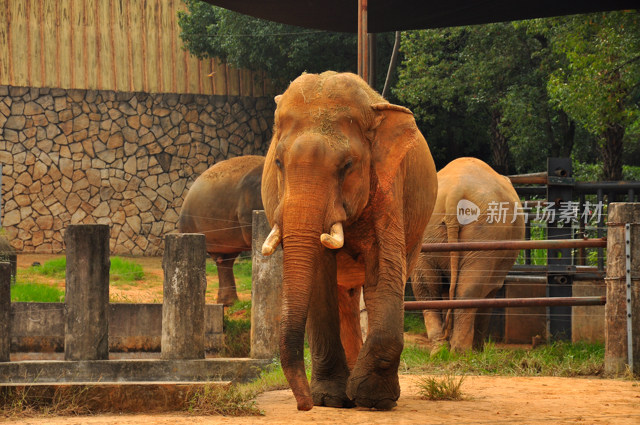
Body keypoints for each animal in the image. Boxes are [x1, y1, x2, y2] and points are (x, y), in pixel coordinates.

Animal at [260, 71, 440, 410]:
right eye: (277, 163)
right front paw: (330, 399)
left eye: (347, 166)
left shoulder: (387, 184)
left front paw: (373, 398)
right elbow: (321, 276)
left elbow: (383, 267)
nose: (304, 405)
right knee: (345, 295)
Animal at [410, 157, 524, 350]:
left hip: (427, 233)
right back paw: (461, 351)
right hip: (485, 236)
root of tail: (454, 191)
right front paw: (478, 349)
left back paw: (439, 349)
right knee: (469, 290)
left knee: (426, 289)